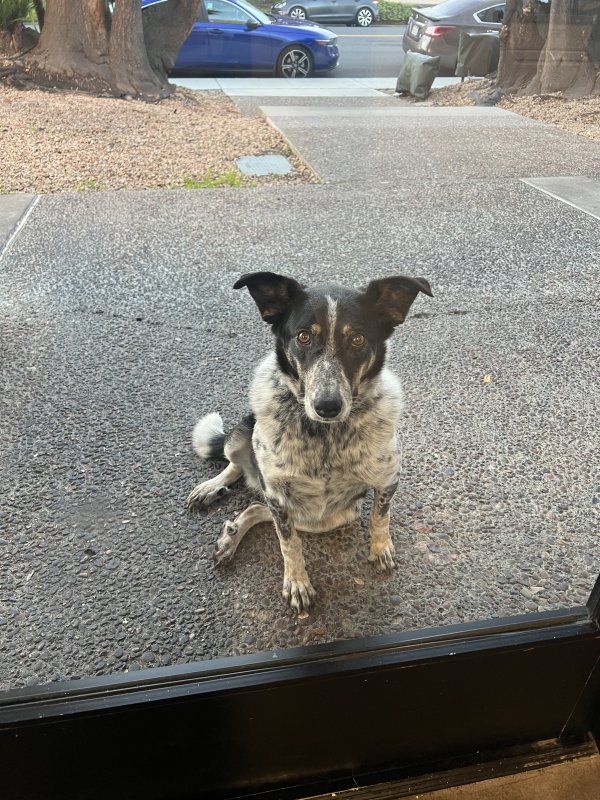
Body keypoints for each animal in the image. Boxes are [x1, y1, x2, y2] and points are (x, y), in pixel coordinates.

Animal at [188, 272, 432, 616]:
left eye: (357, 339)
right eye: (303, 337)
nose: (327, 406)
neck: (324, 436)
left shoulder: (388, 479)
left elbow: (380, 518)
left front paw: (381, 548)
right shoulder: (276, 494)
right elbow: (288, 544)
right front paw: (297, 582)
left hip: (329, 517)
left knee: (255, 506)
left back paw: (231, 534)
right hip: (242, 435)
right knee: (237, 466)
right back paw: (213, 490)